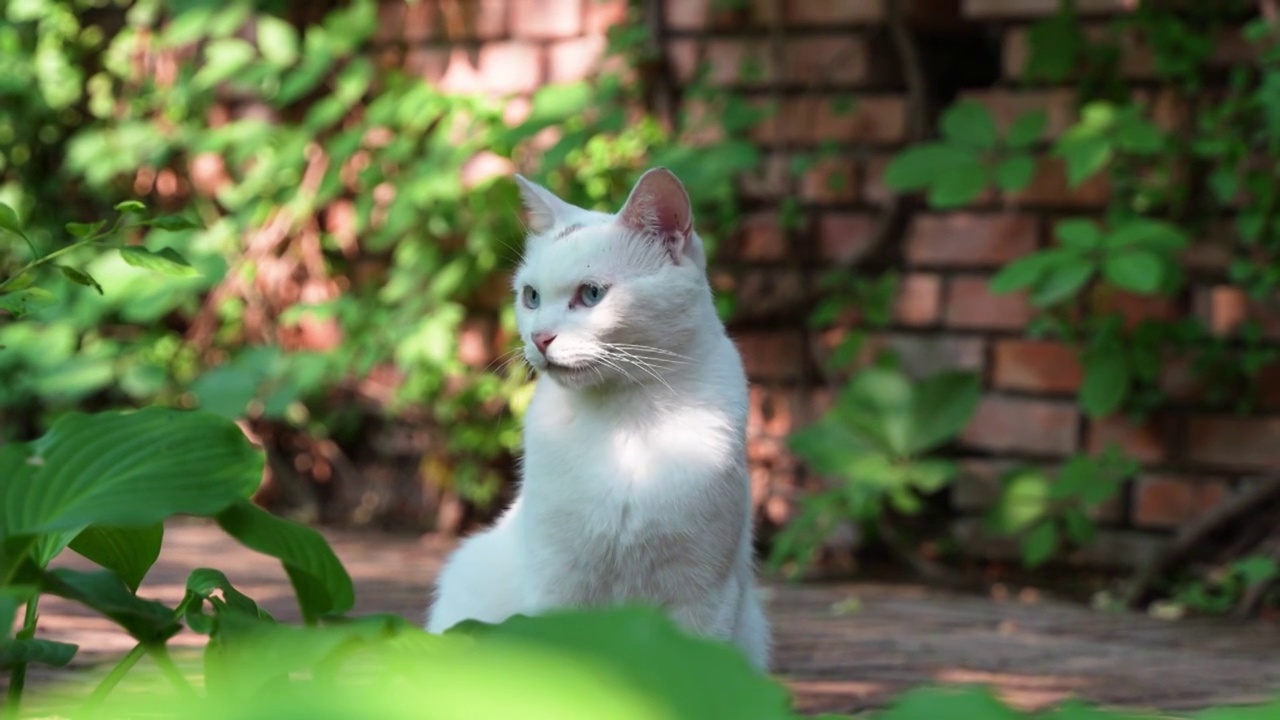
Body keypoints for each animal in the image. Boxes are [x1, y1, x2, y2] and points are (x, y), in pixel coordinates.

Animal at [430, 166, 768, 666]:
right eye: (531, 296)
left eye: (591, 295)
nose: (539, 337)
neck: (625, 421)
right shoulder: (558, 584)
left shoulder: (704, 596)